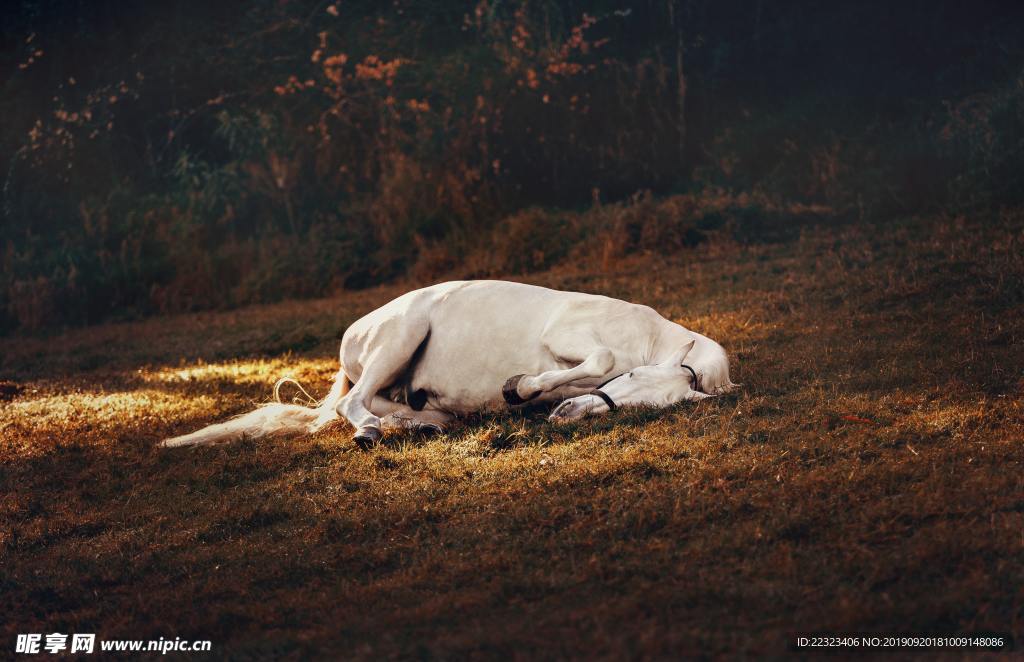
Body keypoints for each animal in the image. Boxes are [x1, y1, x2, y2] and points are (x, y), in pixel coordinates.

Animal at [159, 280, 733, 450]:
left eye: (640, 407)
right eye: (629, 379)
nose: (564, 416)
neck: (645, 335)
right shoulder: (568, 337)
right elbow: (594, 358)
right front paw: (519, 387)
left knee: (389, 406)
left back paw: (418, 424)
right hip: (401, 335)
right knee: (352, 404)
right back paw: (370, 432)